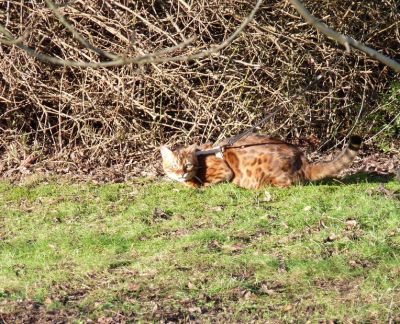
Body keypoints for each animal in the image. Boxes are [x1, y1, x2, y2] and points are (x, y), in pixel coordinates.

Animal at [160, 134, 362, 190]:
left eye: (187, 165)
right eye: (174, 166)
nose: (181, 174)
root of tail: (304, 160)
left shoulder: (225, 172)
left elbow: (201, 184)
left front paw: (195, 184)